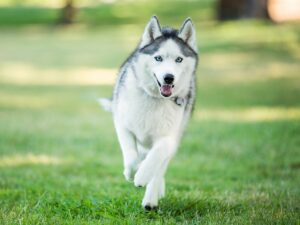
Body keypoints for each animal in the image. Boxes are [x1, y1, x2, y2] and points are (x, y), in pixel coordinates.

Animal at [99, 16, 199, 211]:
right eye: (158, 58)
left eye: (179, 59)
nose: (169, 77)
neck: (155, 98)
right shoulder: (123, 125)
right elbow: (131, 157)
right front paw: (131, 173)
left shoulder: (169, 138)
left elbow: (156, 157)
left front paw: (142, 176)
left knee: (159, 168)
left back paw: (151, 199)